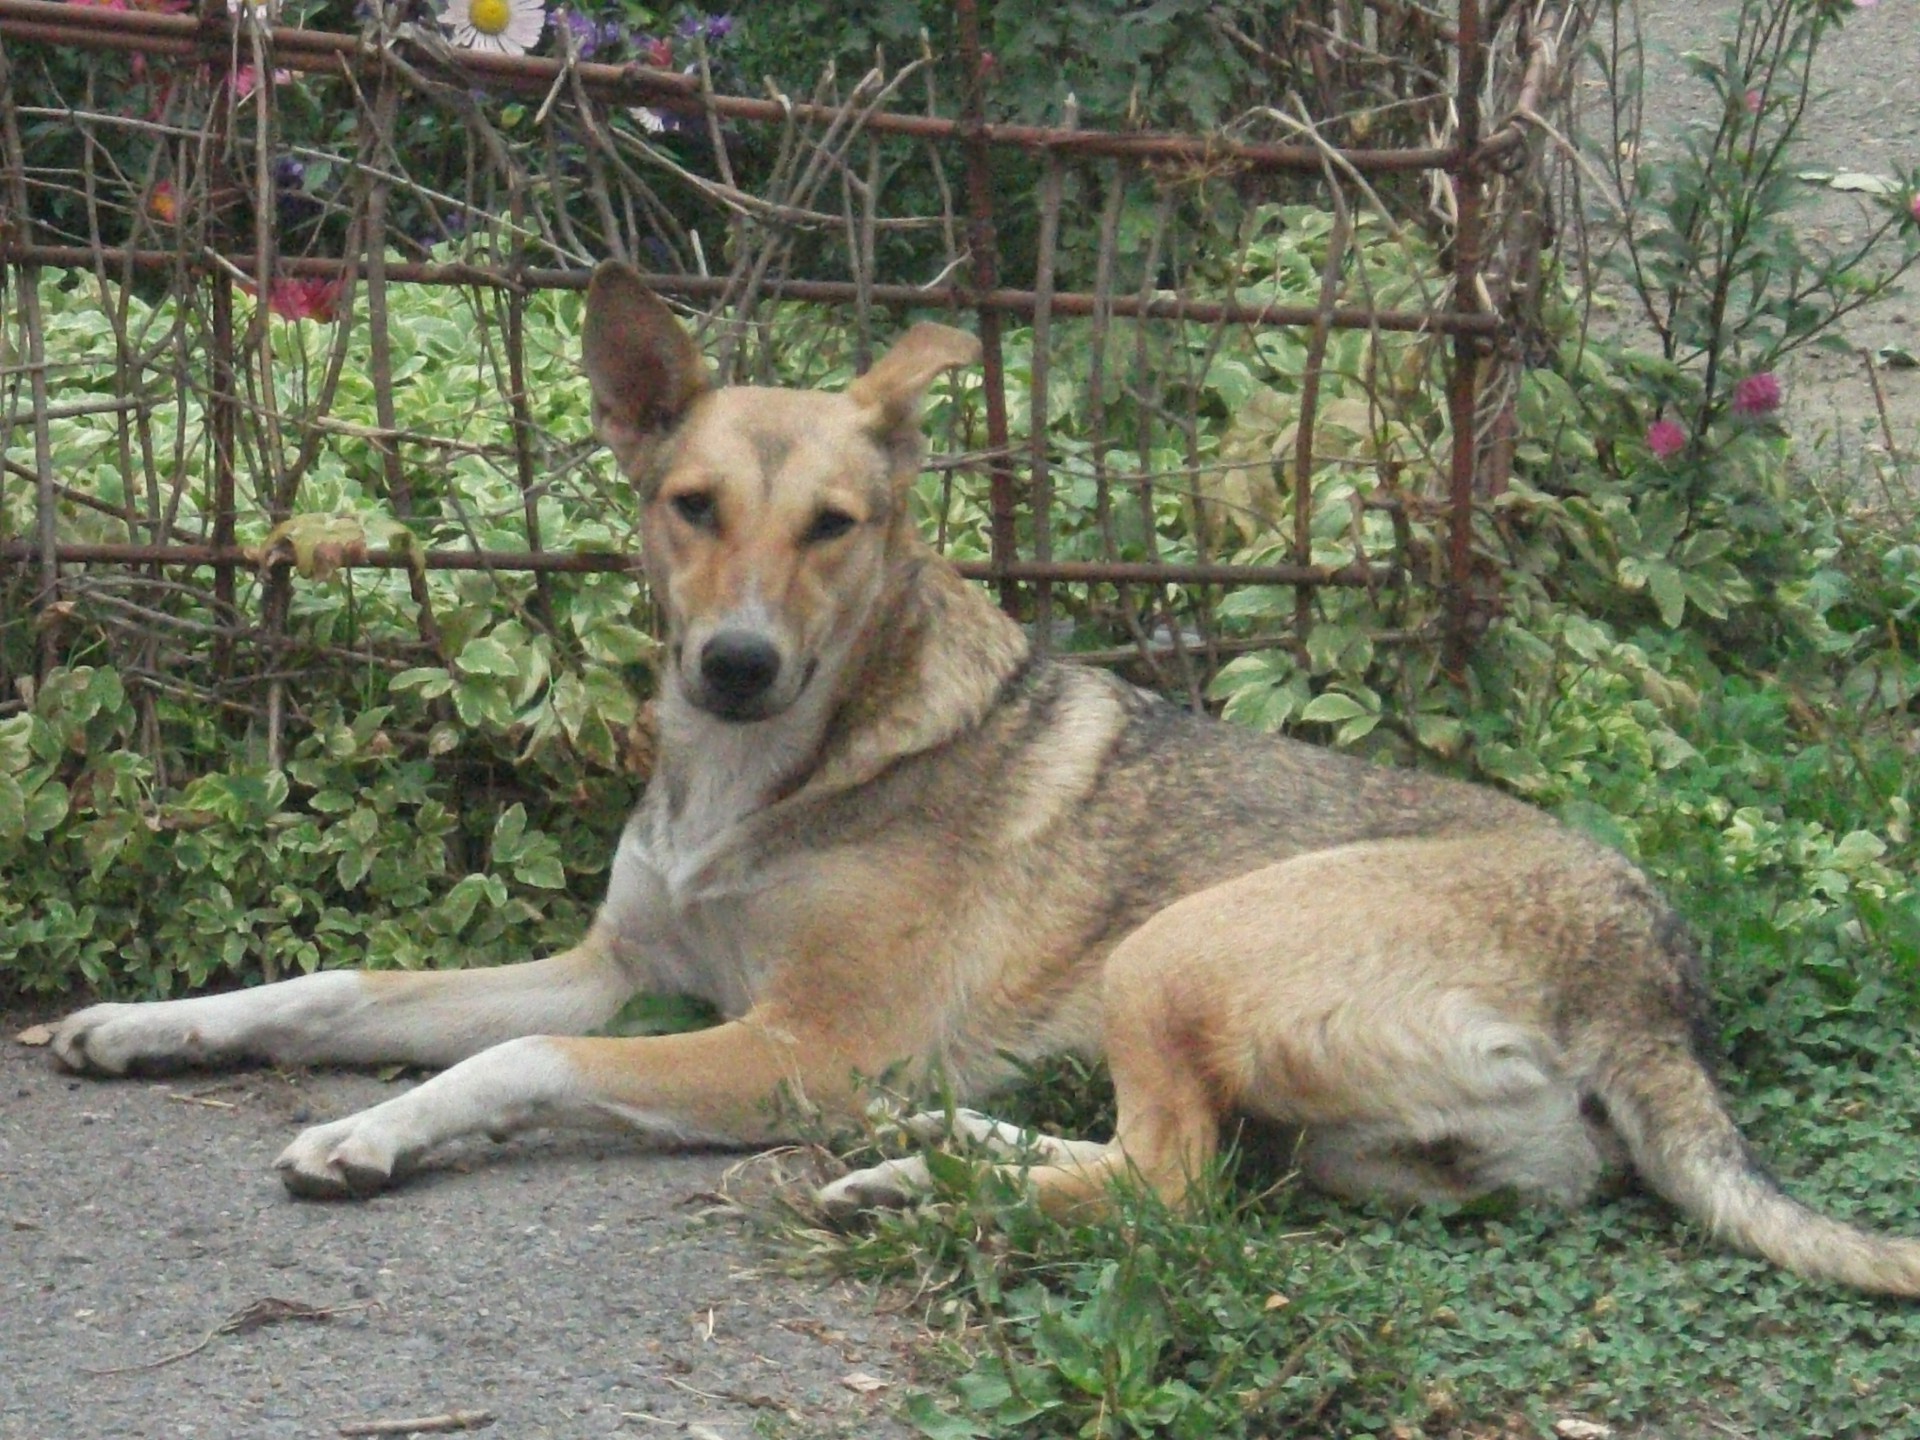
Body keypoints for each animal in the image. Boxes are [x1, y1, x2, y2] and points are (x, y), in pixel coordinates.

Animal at [41, 264, 1920, 1305]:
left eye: (835, 528)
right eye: (691, 508)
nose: (736, 665)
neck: (767, 772)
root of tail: (1658, 982)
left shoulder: (798, 1043)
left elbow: (509, 1062)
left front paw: (369, 1132)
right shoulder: (617, 969)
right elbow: (339, 981)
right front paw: (146, 1026)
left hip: (1184, 947)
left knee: (1169, 1191)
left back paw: (915, 1180)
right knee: (1185, 1166)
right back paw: (920, 1161)